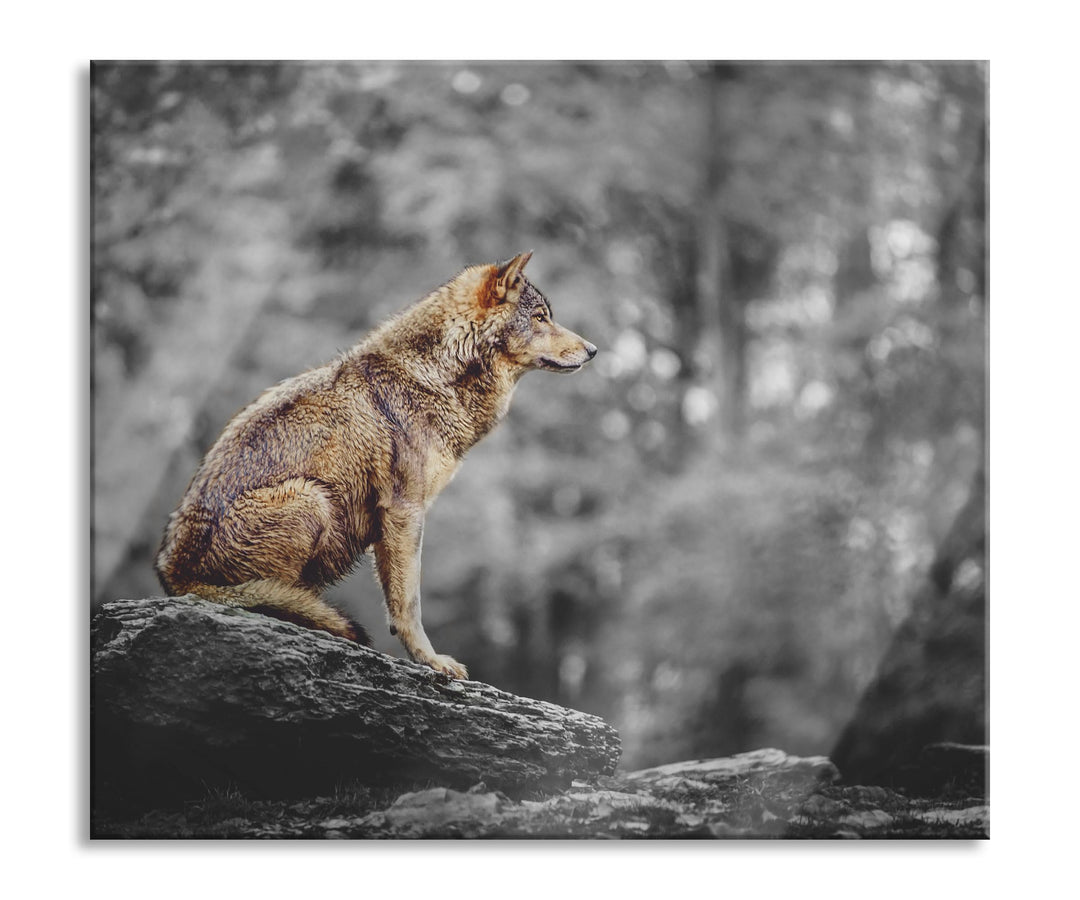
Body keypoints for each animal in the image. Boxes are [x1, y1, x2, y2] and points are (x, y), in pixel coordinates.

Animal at [155, 251, 596, 679]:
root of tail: (174, 575)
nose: (593, 350)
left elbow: (398, 600)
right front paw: (432, 661)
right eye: (540, 317)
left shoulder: (393, 522)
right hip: (311, 498)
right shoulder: (404, 511)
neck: (434, 376)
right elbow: (409, 603)